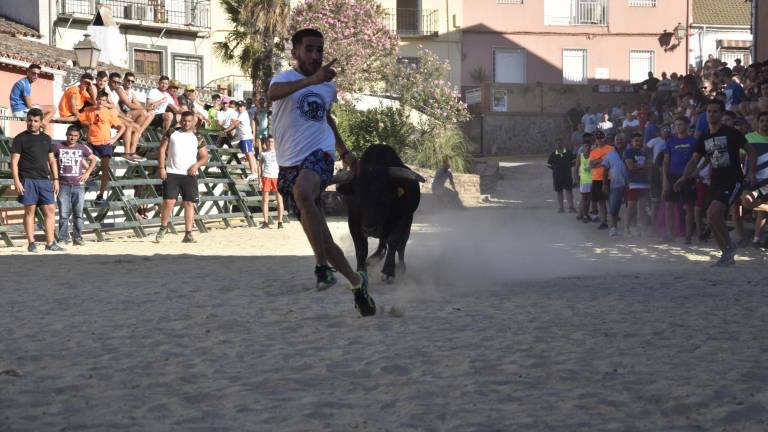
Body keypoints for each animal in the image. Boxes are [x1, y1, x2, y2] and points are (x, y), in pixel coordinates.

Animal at [332, 145, 424, 284]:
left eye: (384, 195)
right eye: (357, 196)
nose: (370, 229)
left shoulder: (403, 220)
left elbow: (394, 242)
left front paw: (388, 271)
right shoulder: (353, 223)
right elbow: (361, 248)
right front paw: (361, 271)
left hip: (408, 222)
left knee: (401, 244)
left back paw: (400, 266)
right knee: (382, 242)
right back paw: (372, 259)